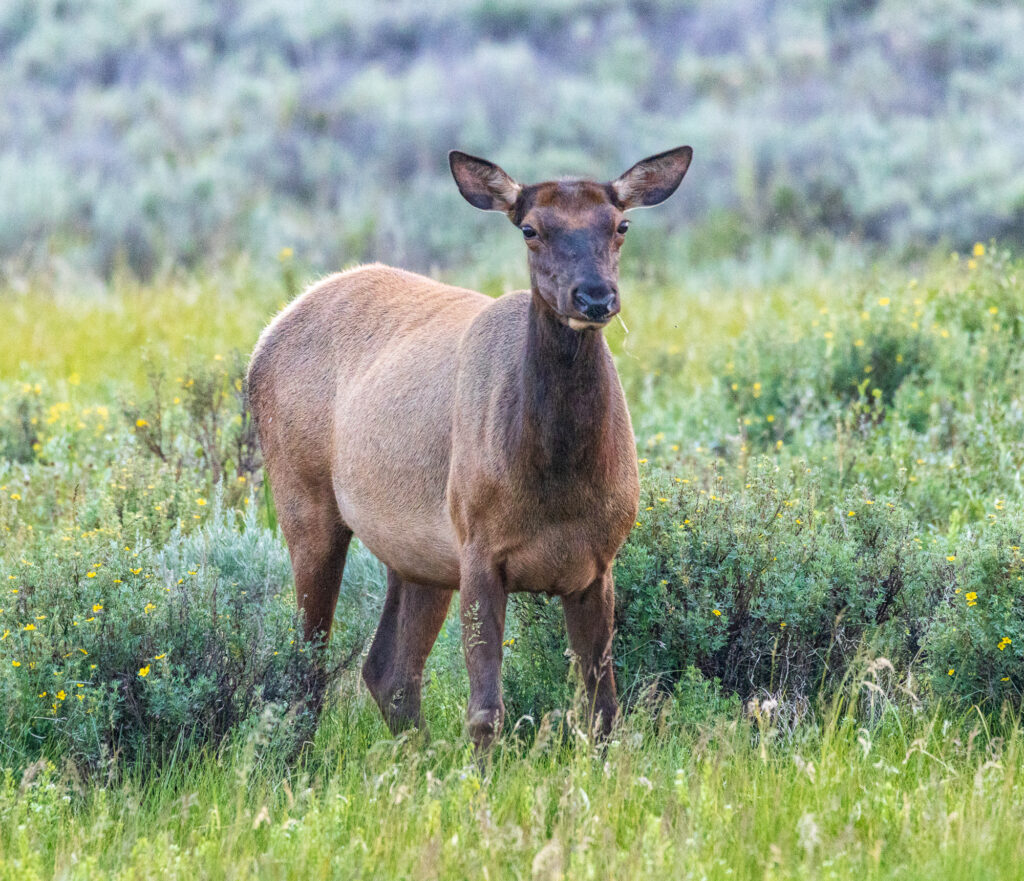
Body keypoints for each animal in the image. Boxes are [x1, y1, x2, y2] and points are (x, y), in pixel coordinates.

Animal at [249, 142, 696, 741]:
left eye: (620, 224)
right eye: (530, 229)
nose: (595, 297)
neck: (556, 486)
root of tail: (266, 336)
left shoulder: (599, 564)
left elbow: (603, 709)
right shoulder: (480, 549)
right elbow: (485, 712)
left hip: (419, 554)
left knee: (388, 670)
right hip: (307, 502)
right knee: (307, 666)